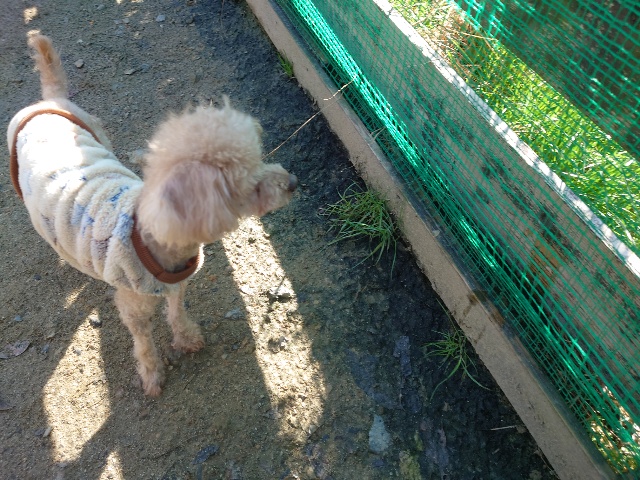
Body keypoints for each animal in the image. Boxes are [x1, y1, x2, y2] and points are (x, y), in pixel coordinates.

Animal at [7, 35, 297, 396]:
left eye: (260, 159)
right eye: (253, 186)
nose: (293, 183)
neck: (159, 240)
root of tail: (48, 100)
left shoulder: (178, 285)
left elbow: (177, 312)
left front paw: (186, 337)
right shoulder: (133, 307)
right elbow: (143, 343)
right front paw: (151, 374)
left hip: (97, 131)